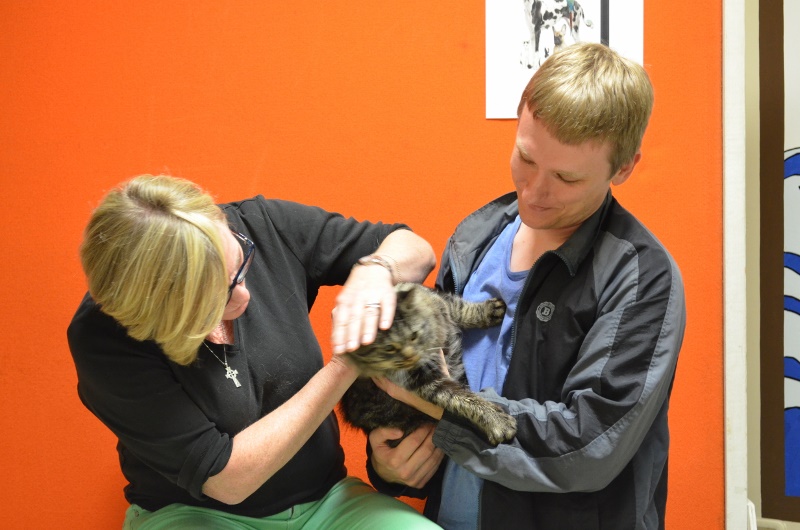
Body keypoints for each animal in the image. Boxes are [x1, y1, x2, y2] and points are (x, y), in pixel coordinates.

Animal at [340, 282, 520, 444]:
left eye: (414, 335)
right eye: (389, 348)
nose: (410, 357)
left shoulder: (444, 303)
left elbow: (462, 310)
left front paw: (489, 312)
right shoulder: (427, 383)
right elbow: (466, 400)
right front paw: (497, 421)